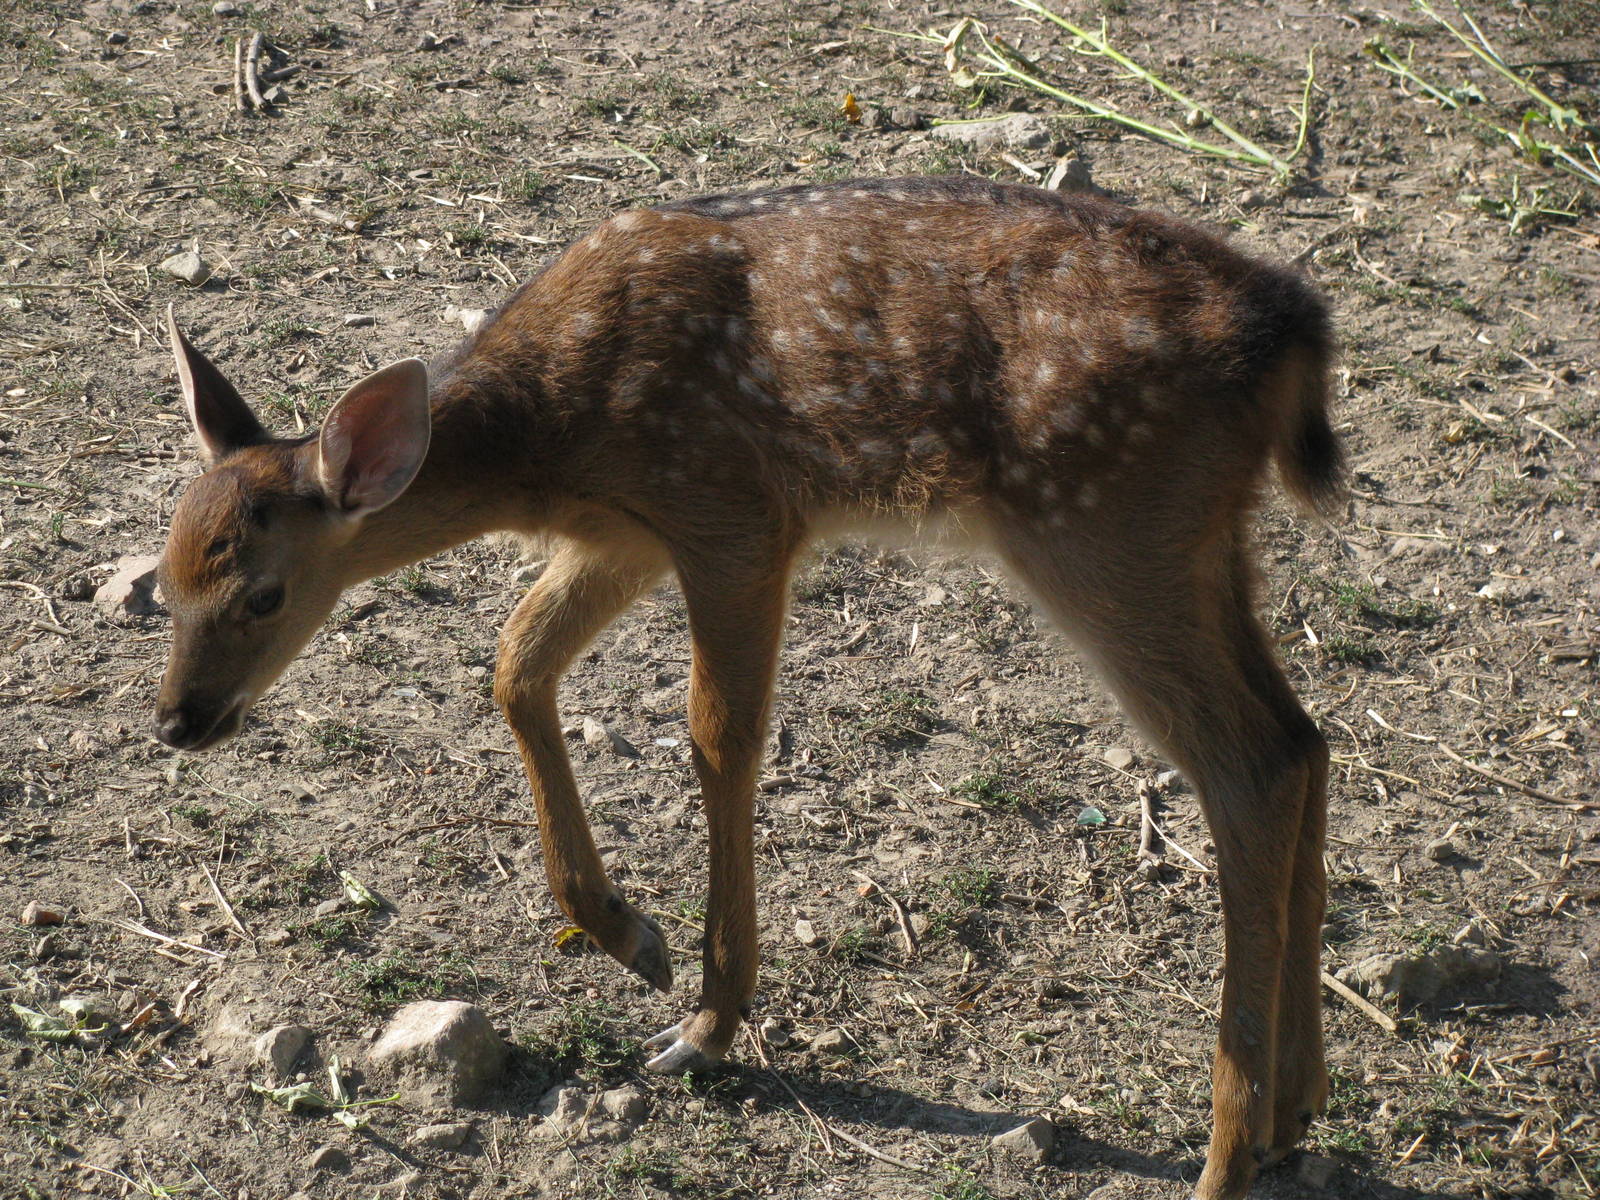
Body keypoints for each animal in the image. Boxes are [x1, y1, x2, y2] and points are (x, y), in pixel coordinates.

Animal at [152, 175, 1342, 1199]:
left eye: (262, 594)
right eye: (164, 579)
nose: (178, 720)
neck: (554, 434)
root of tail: (1296, 339)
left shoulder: (733, 512)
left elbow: (718, 735)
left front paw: (706, 1025)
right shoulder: (626, 533)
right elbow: (514, 664)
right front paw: (631, 937)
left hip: (1100, 524)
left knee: (1246, 766)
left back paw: (1224, 1155)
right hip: (1200, 542)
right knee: (1302, 739)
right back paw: (1293, 1111)